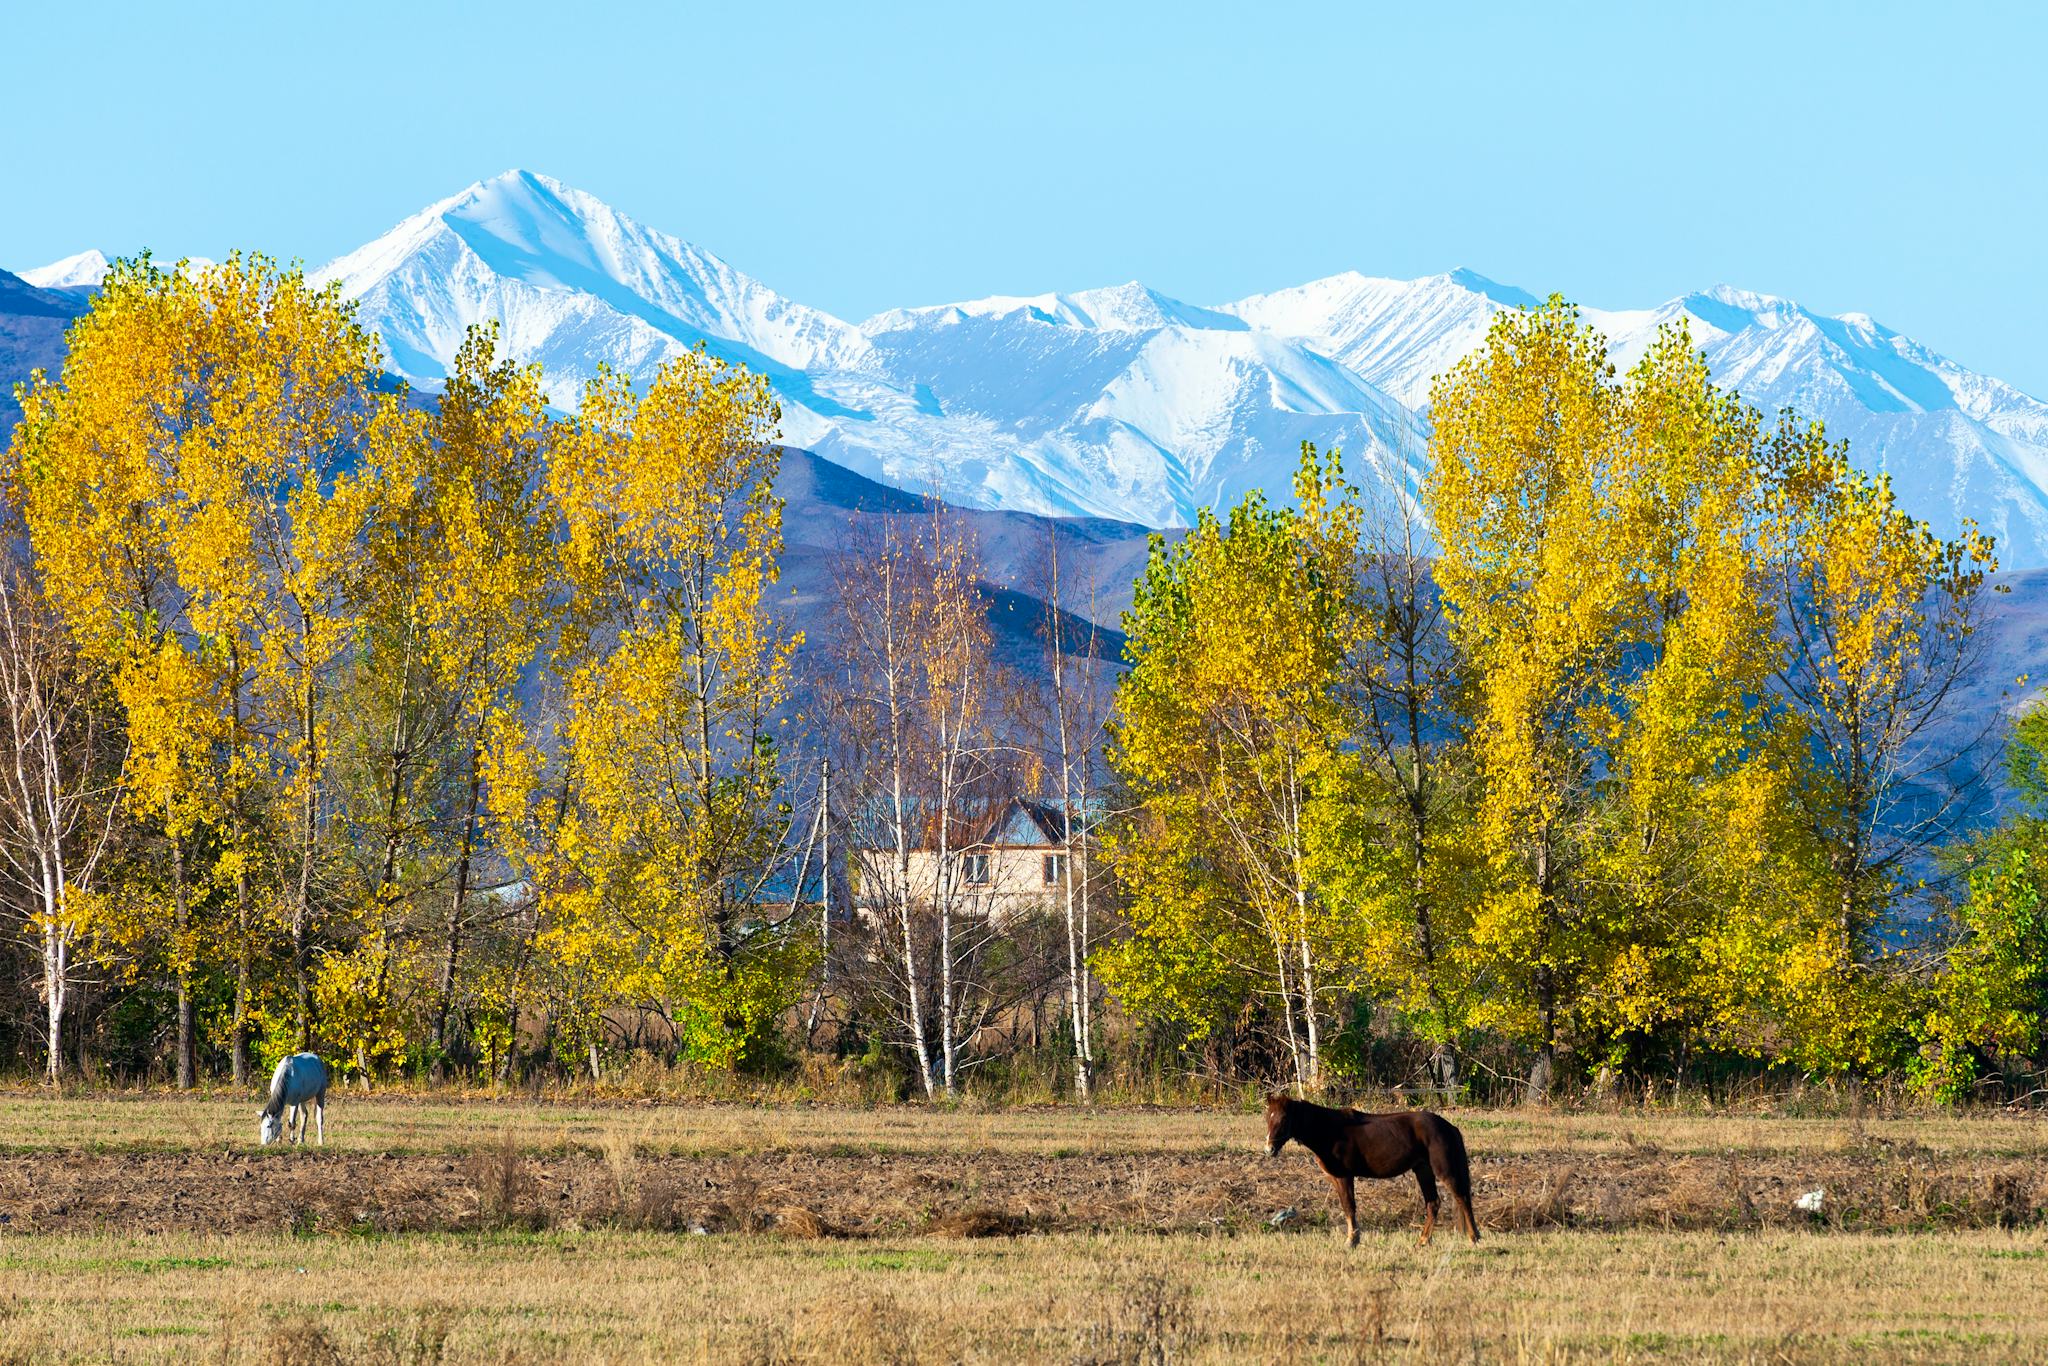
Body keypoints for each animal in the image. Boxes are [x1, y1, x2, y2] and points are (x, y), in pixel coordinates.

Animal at [1253, 1097, 1482, 1245]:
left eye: (1284, 1119)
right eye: (1267, 1118)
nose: (1268, 1150)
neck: (1329, 1130)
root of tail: (1449, 1126)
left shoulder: (1344, 1176)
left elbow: (1349, 1207)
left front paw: (1352, 1240)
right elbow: (1347, 1207)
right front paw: (1353, 1238)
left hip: (1443, 1169)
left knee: (1461, 1197)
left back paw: (1474, 1237)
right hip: (1423, 1169)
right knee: (1433, 1203)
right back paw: (1423, 1241)